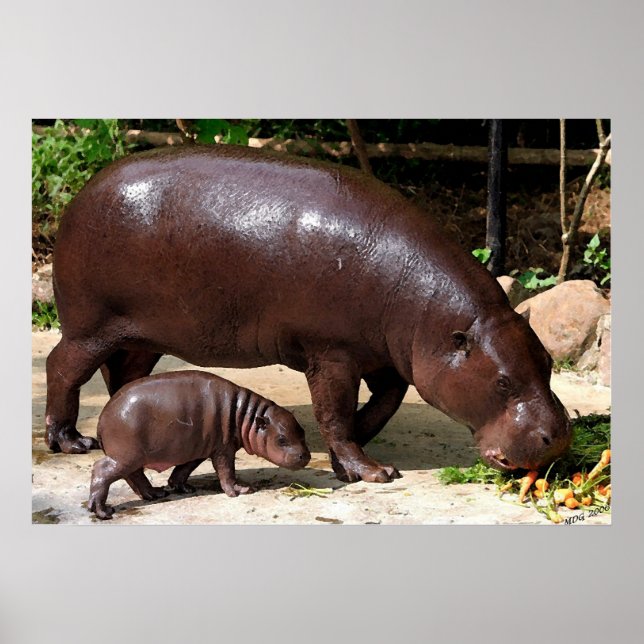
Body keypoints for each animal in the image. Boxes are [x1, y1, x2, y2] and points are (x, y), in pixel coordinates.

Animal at [46, 144, 571, 483]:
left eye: (547, 364)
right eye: (502, 382)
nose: (560, 437)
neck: (431, 316)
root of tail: (81, 193)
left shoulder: (382, 355)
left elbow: (383, 401)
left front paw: (352, 452)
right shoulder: (332, 353)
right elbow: (334, 412)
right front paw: (372, 472)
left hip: (142, 335)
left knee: (123, 374)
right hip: (90, 326)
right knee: (63, 368)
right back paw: (71, 442)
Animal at [88, 370, 311, 519]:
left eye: (302, 431)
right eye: (281, 439)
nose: (306, 456)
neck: (246, 416)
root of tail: (102, 417)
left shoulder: (199, 448)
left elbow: (185, 468)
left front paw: (182, 487)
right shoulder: (223, 449)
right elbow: (226, 471)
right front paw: (240, 490)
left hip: (132, 456)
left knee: (134, 475)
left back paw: (156, 493)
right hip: (126, 455)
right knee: (102, 470)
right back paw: (103, 511)